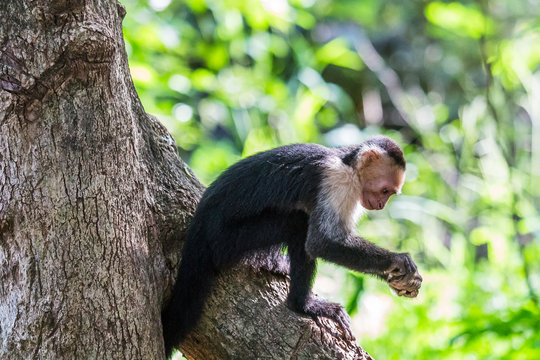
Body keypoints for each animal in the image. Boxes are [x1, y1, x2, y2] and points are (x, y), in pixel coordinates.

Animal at [160, 135, 422, 358]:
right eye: (385, 191)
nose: (380, 205)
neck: (346, 163)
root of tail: (200, 221)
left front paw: (398, 278)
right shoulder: (337, 181)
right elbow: (321, 243)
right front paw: (397, 262)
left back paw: (274, 264)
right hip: (225, 240)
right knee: (297, 223)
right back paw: (301, 304)